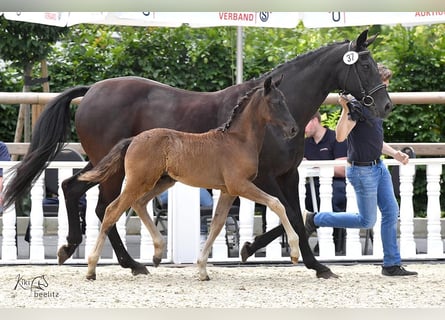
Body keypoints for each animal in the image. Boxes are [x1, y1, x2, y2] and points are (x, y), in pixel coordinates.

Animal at [4, 30, 392, 280]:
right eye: (366, 66)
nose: (385, 105)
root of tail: (93, 89)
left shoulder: (288, 174)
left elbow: (300, 215)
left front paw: (290, 257)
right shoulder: (265, 177)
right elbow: (291, 215)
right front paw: (297, 259)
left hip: (105, 163)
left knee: (74, 188)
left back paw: (78, 250)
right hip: (116, 169)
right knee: (104, 207)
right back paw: (127, 262)